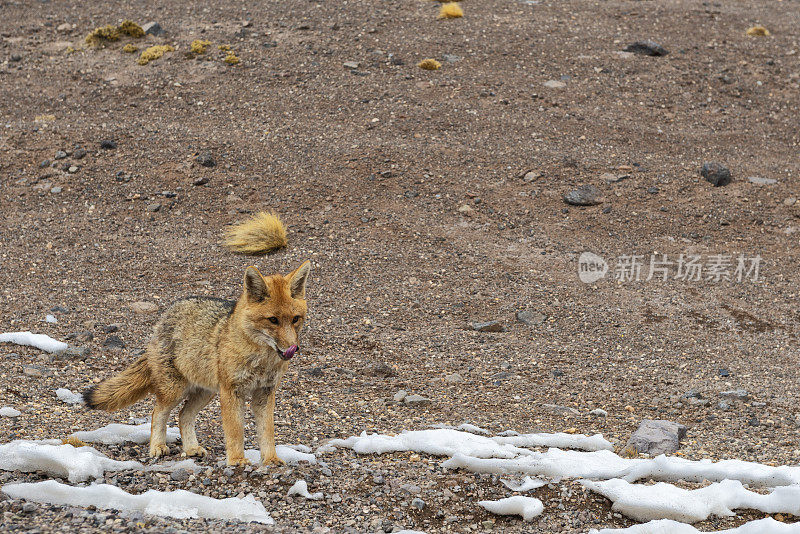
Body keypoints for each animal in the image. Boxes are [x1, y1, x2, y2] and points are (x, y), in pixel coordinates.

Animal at [83, 262, 310, 466]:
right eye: (273, 320)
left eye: (295, 319)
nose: (293, 348)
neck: (261, 360)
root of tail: (166, 315)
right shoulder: (232, 392)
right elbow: (235, 431)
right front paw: (237, 460)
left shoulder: (265, 392)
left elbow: (267, 432)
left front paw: (270, 459)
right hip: (175, 391)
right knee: (158, 413)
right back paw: (157, 447)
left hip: (206, 393)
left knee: (183, 416)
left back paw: (191, 448)